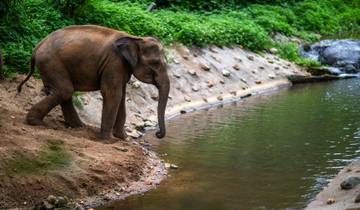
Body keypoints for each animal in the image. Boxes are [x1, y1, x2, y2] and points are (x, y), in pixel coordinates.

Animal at [18, 24, 172, 139]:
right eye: (156, 63)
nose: (158, 134)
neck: (136, 38)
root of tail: (37, 47)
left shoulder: (121, 67)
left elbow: (121, 96)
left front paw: (123, 138)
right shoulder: (114, 63)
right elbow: (112, 94)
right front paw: (108, 140)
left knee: (63, 92)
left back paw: (77, 126)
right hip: (51, 63)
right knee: (65, 91)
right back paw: (36, 122)